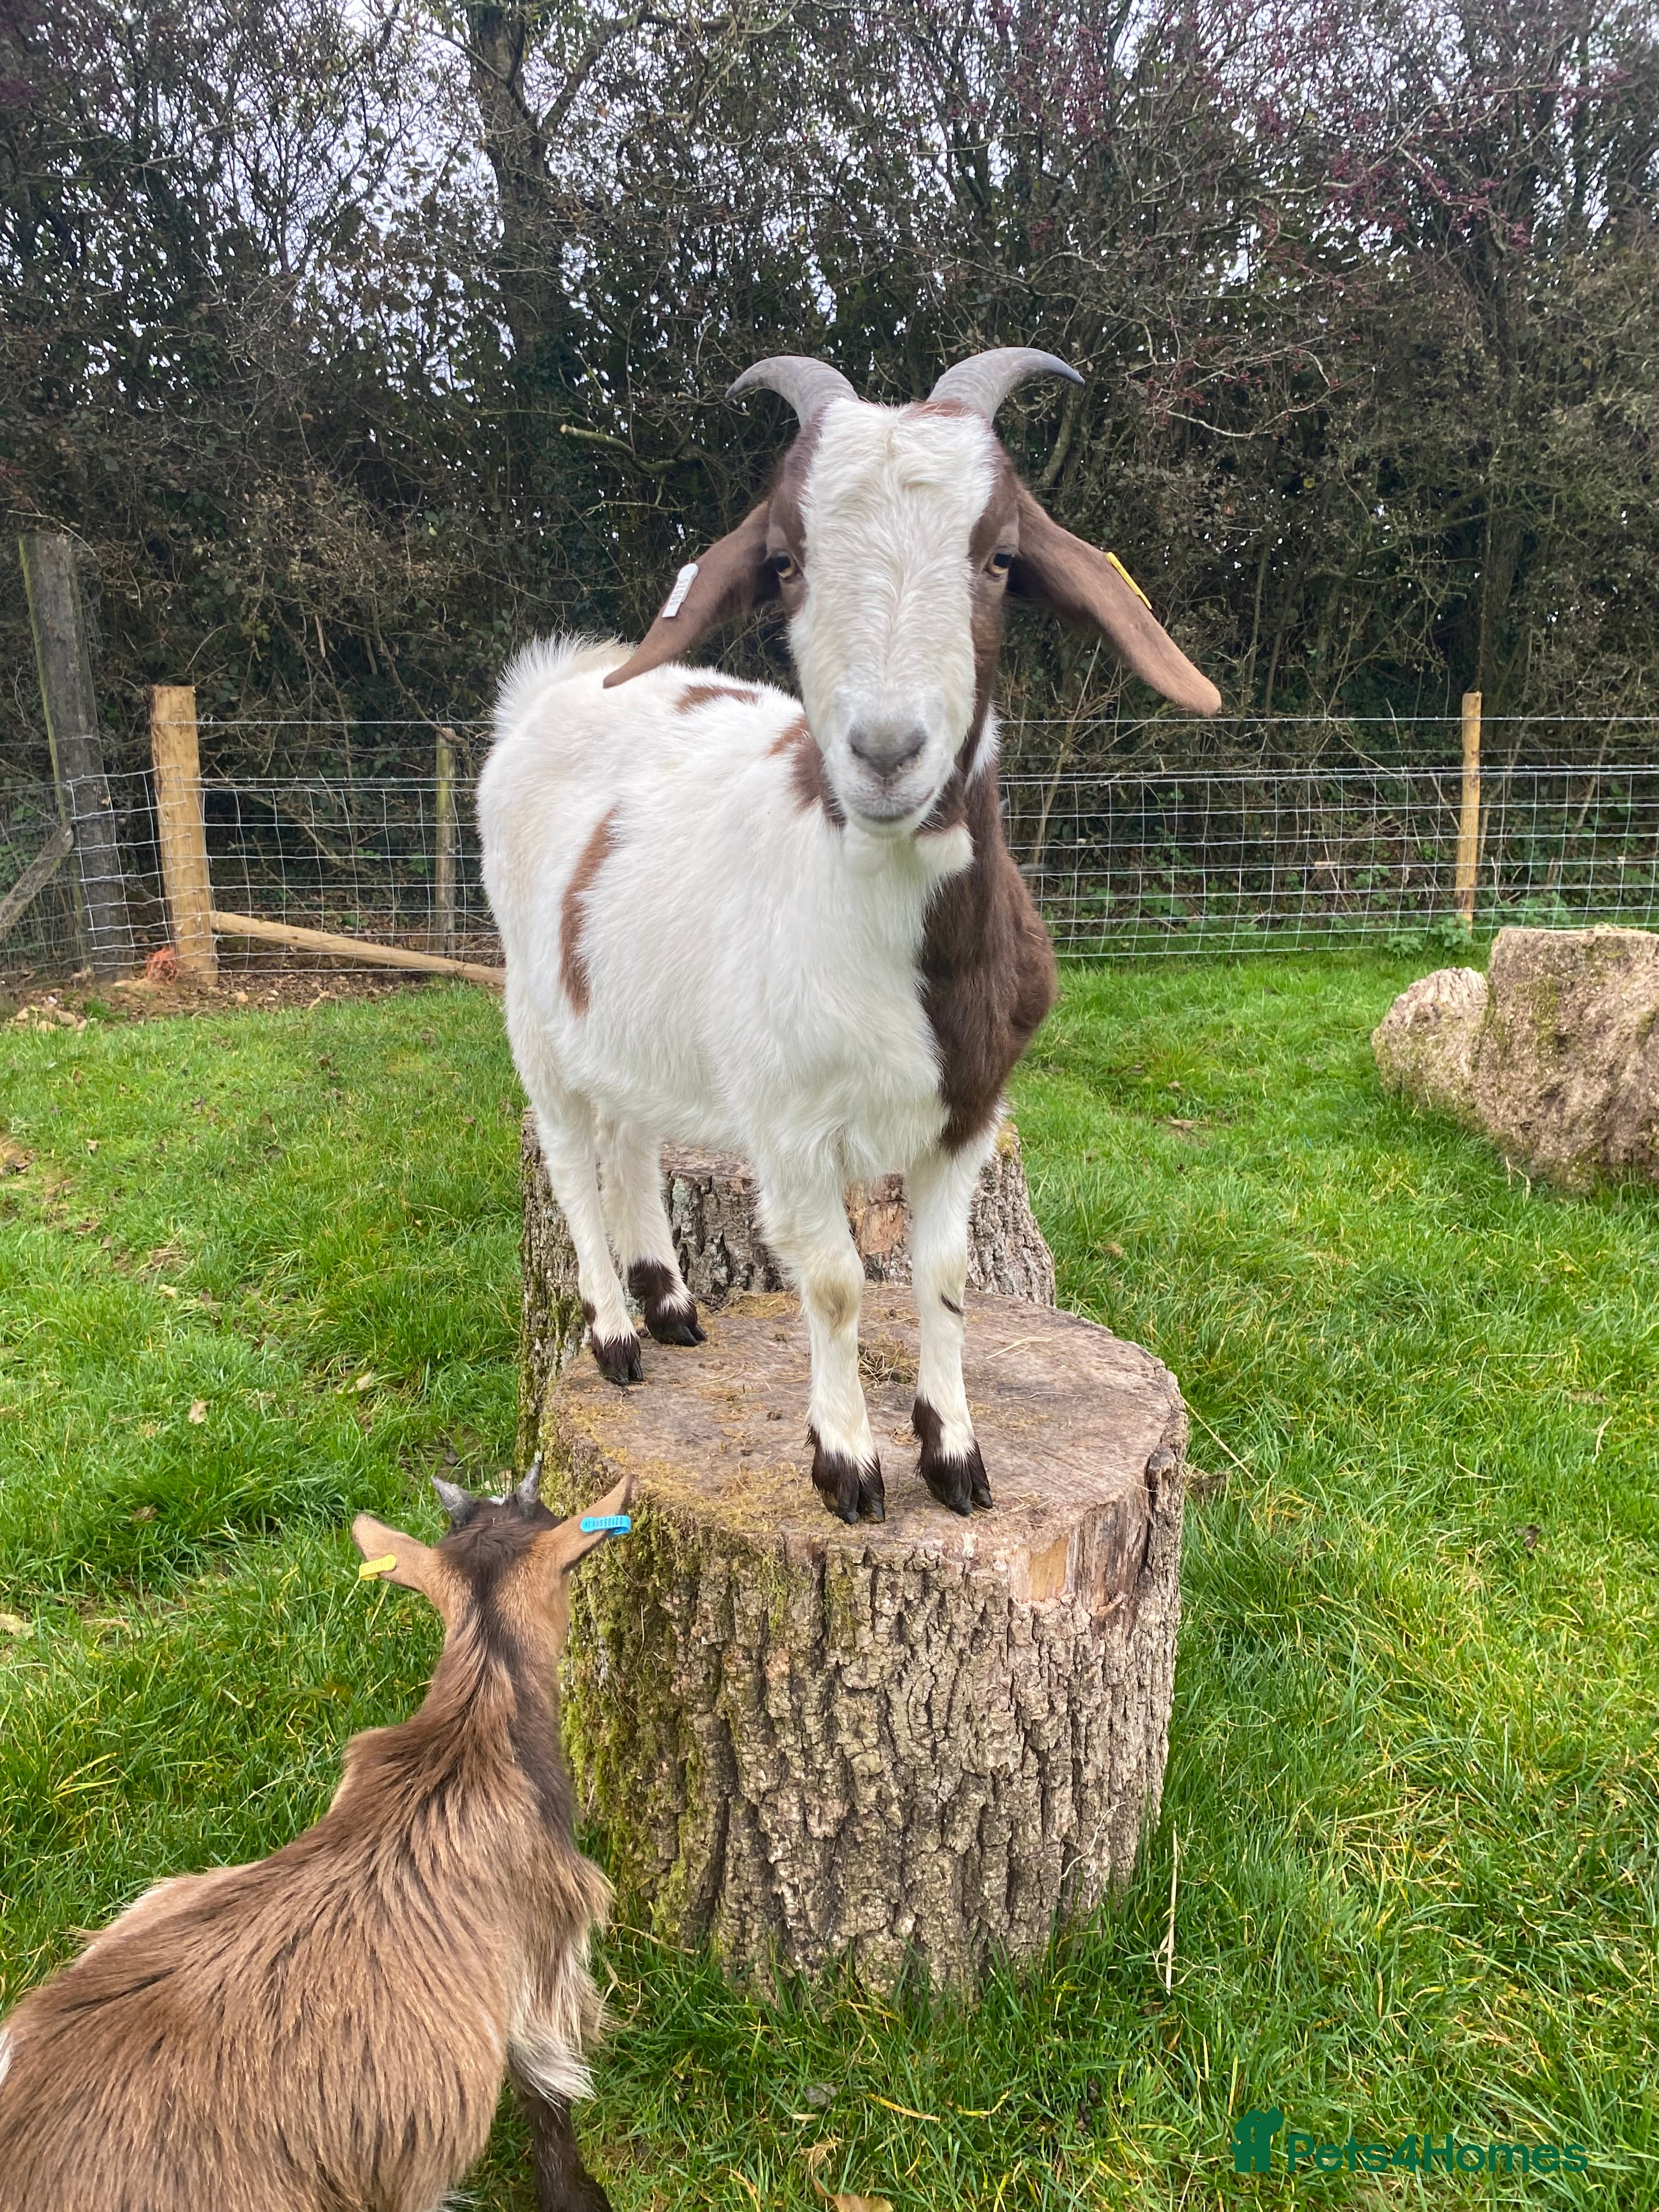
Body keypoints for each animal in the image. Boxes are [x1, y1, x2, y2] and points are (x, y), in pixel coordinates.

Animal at [479, 347, 1220, 1526]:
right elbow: (829, 1280)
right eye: (785, 560)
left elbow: (946, 1274)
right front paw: (848, 1462)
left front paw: (954, 1453)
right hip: (532, 1004)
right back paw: (613, 1331)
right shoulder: (787, 1123)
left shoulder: (970, 1108)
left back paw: (669, 1302)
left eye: (999, 558)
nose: (882, 752)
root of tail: (548, 694)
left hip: (632, 1008)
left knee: (631, 1135)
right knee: (568, 1156)